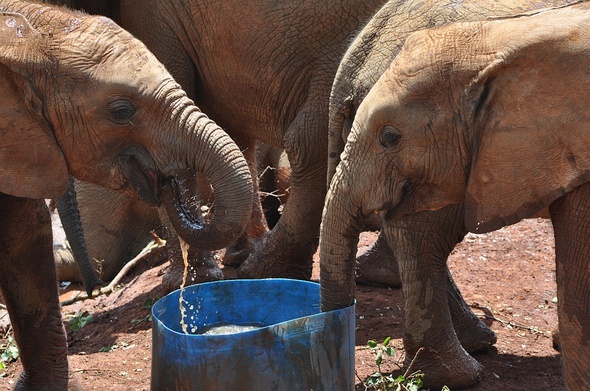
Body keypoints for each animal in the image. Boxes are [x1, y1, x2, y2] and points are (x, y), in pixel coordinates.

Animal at [44, 0, 390, 290]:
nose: (161, 184)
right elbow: (233, 132)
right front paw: (232, 259)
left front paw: (188, 282)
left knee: (310, 139)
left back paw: (265, 271)